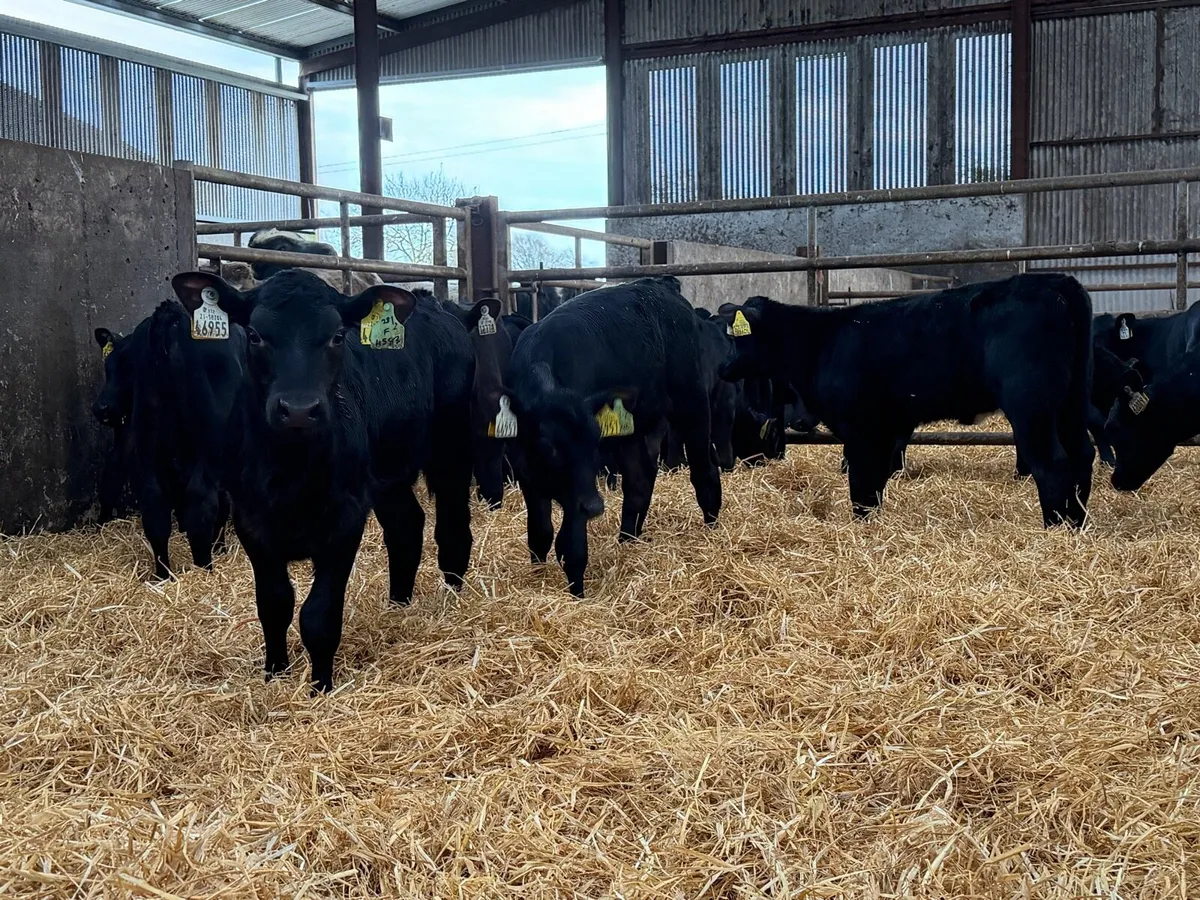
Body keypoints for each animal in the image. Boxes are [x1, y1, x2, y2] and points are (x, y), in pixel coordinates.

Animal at [170, 268, 475, 692]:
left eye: (337, 336)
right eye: (254, 335)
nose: (299, 409)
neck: (290, 470)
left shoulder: (345, 517)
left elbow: (319, 614)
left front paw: (321, 687)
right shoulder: (250, 518)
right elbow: (274, 603)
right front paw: (275, 674)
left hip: (452, 447)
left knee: (452, 526)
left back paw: (452, 595)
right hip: (386, 476)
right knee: (406, 526)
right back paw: (398, 604)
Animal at [502, 276, 722, 597]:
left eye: (594, 444)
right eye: (547, 445)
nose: (595, 507)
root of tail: (660, 285)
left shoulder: (579, 491)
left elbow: (571, 545)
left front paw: (577, 595)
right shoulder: (527, 474)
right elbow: (540, 534)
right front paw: (537, 575)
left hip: (692, 402)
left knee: (704, 470)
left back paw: (712, 528)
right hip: (638, 427)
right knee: (640, 482)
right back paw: (628, 541)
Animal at [718, 273, 1095, 527]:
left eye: (736, 337)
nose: (722, 367)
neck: (821, 342)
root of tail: (1056, 281)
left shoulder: (863, 429)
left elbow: (863, 485)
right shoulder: (891, 427)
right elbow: (876, 482)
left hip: (1031, 405)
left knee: (1052, 464)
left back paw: (1054, 528)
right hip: (1071, 404)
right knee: (1082, 455)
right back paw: (1076, 524)